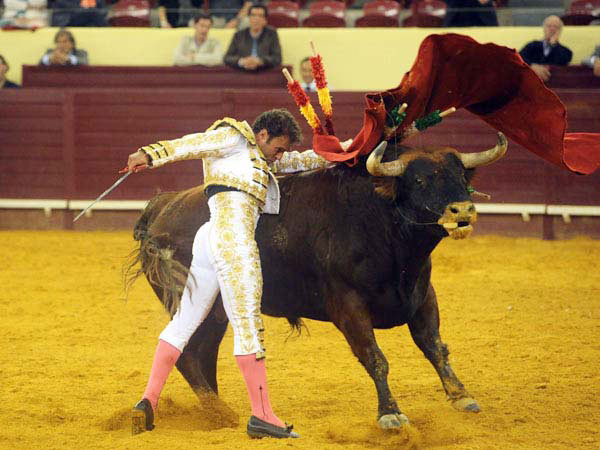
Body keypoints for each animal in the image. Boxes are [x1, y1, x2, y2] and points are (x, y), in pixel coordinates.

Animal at [126, 133, 506, 428]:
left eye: (462, 176)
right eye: (419, 181)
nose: (462, 211)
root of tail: (161, 207)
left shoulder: (422, 295)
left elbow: (434, 346)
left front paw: (461, 395)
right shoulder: (348, 305)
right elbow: (375, 356)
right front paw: (390, 414)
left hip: (217, 311)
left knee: (201, 352)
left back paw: (217, 410)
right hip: (190, 299)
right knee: (187, 353)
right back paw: (219, 412)